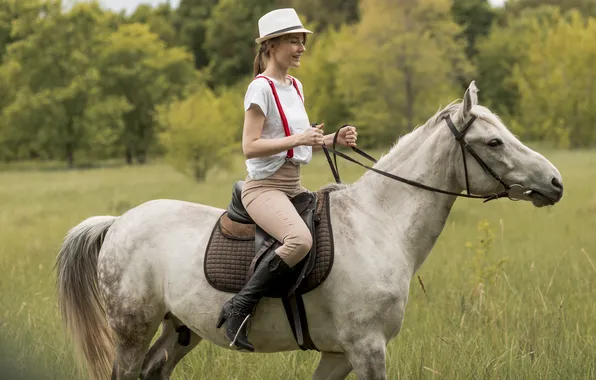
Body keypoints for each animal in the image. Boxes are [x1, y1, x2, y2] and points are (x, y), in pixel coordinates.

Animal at [56, 81, 564, 378]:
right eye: (494, 142)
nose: (556, 182)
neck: (379, 225)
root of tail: (117, 223)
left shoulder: (339, 354)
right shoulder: (367, 349)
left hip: (179, 329)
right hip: (131, 329)